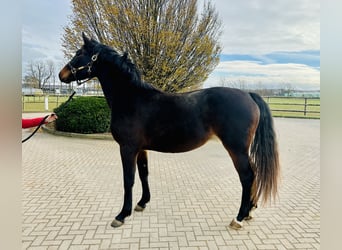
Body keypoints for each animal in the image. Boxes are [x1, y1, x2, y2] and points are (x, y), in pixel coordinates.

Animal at [58, 33, 278, 230]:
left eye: (79, 53)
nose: (62, 74)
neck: (132, 98)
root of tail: (248, 95)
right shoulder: (141, 149)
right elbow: (143, 174)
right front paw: (142, 203)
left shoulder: (127, 148)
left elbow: (128, 179)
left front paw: (122, 215)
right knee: (254, 174)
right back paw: (250, 211)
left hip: (236, 149)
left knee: (247, 176)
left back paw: (239, 217)